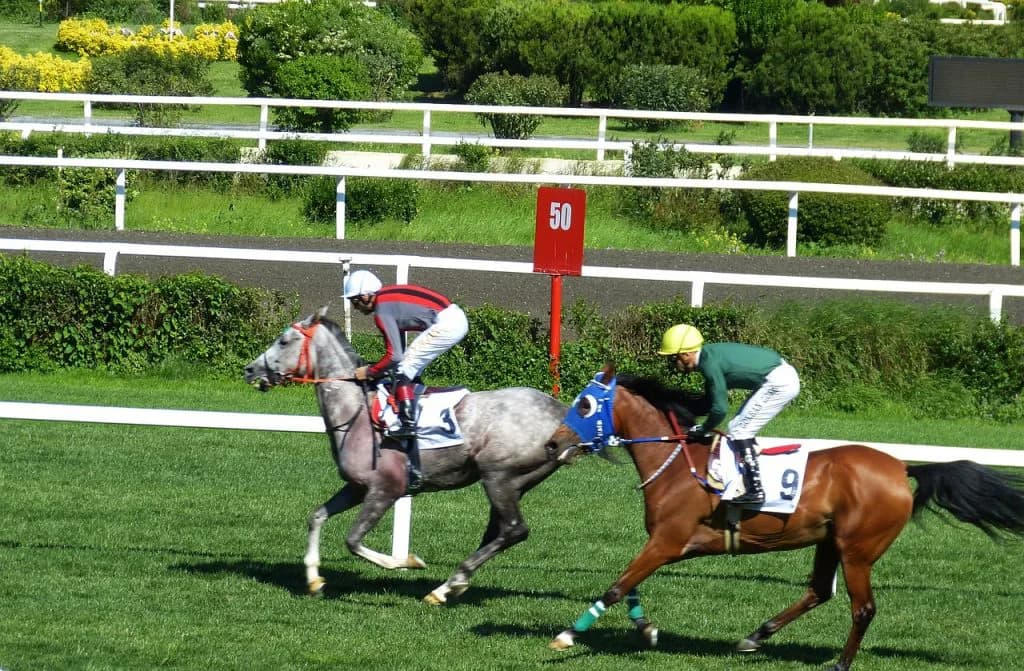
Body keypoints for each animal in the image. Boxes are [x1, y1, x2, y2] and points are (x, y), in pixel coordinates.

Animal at [243, 307, 570, 605]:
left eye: (284, 340)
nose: (250, 370)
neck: (357, 412)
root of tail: (560, 411)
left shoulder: (386, 488)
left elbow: (353, 540)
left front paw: (408, 561)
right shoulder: (357, 487)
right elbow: (317, 516)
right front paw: (313, 579)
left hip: (498, 475)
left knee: (514, 529)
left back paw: (447, 586)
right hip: (515, 483)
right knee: (499, 532)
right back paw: (452, 586)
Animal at [544, 365, 1024, 671]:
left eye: (585, 406)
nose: (552, 444)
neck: (679, 463)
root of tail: (901, 467)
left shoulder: (669, 541)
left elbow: (618, 584)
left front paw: (568, 635)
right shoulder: (665, 543)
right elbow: (630, 585)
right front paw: (646, 631)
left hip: (858, 550)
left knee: (863, 608)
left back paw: (840, 663)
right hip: (830, 542)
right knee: (819, 591)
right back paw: (756, 636)